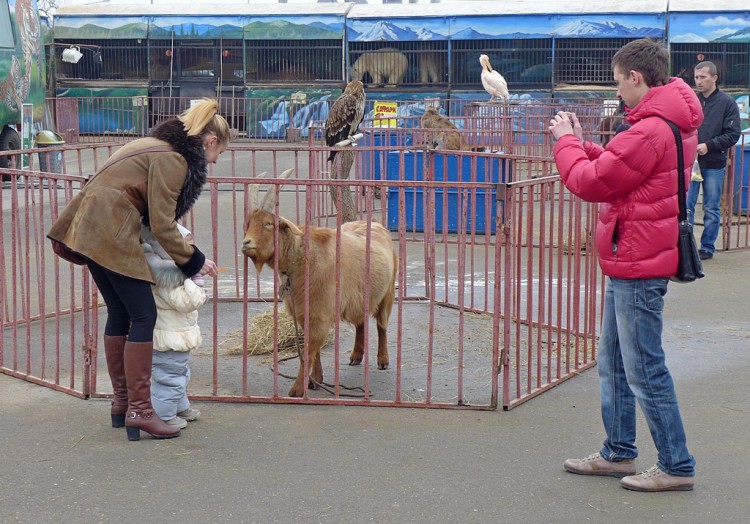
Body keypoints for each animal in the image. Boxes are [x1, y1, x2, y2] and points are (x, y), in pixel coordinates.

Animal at [244, 170, 402, 396]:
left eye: (268, 223)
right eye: (249, 223)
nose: (246, 243)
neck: (304, 257)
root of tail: (376, 224)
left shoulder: (319, 312)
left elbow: (310, 347)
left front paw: (298, 389)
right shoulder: (304, 312)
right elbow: (314, 347)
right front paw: (315, 380)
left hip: (387, 293)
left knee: (381, 325)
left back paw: (383, 360)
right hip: (361, 296)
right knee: (361, 322)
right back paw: (356, 355)